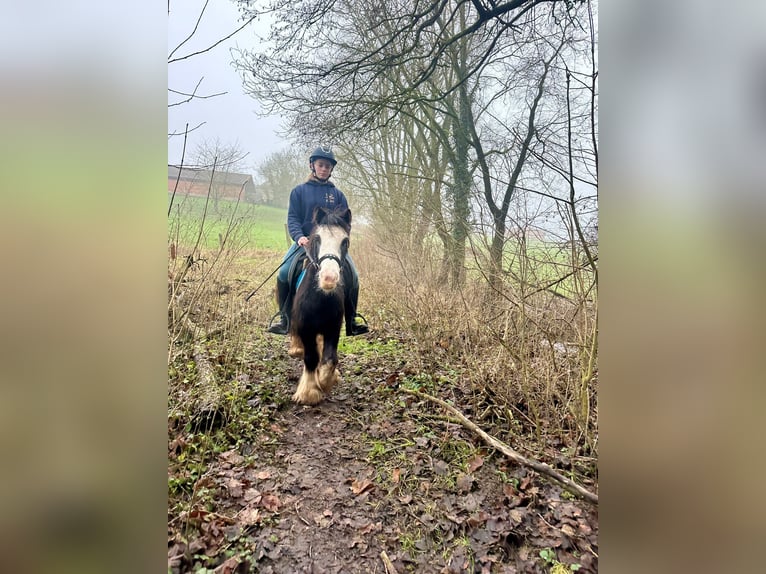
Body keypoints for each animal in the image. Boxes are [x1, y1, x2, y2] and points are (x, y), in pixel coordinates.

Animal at [290, 207, 352, 404]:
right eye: (317, 239)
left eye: (345, 242)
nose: (328, 278)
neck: (320, 298)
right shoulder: (305, 328)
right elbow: (311, 357)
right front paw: (309, 392)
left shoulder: (333, 327)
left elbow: (330, 359)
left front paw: (326, 381)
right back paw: (296, 348)